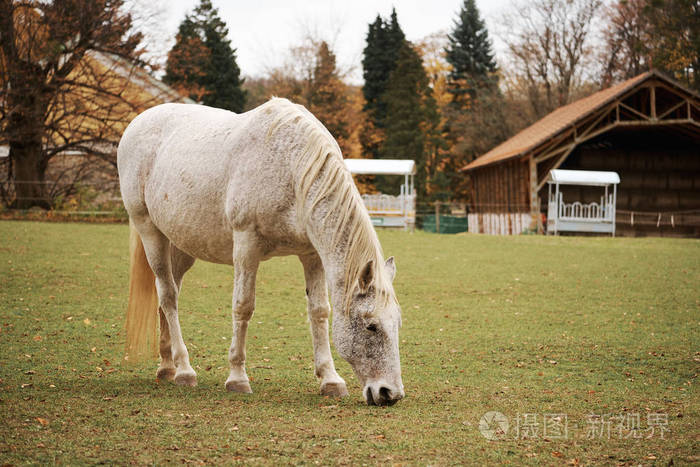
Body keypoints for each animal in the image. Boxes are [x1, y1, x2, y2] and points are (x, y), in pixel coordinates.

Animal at [117, 98, 404, 406]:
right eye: (371, 326)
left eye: (397, 324)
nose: (390, 393)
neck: (292, 166)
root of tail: (138, 122)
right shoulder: (246, 247)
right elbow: (243, 306)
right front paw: (237, 378)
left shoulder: (312, 255)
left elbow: (319, 311)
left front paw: (330, 379)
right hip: (150, 233)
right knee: (168, 296)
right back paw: (184, 370)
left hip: (181, 246)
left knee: (167, 296)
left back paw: (167, 367)